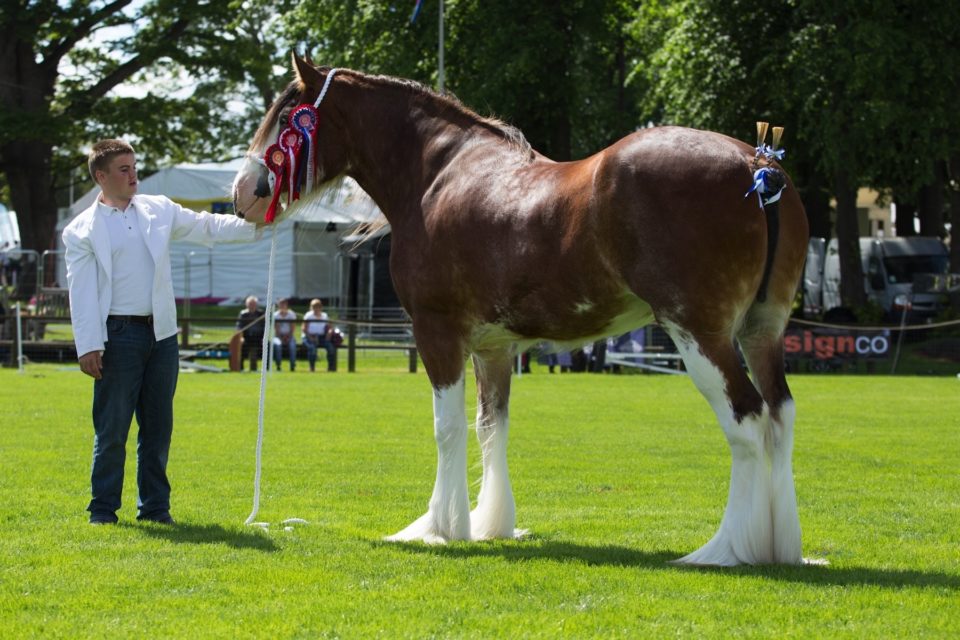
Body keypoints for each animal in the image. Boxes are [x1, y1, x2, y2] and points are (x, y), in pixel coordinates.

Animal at [234, 56, 808, 564]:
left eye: (286, 119)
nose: (243, 195)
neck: (437, 175)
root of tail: (758, 164)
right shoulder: (493, 348)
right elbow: (491, 427)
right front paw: (490, 524)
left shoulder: (436, 332)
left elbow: (447, 427)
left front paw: (441, 528)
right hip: (762, 332)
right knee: (780, 416)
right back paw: (779, 547)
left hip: (699, 334)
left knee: (747, 419)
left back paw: (725, 550)